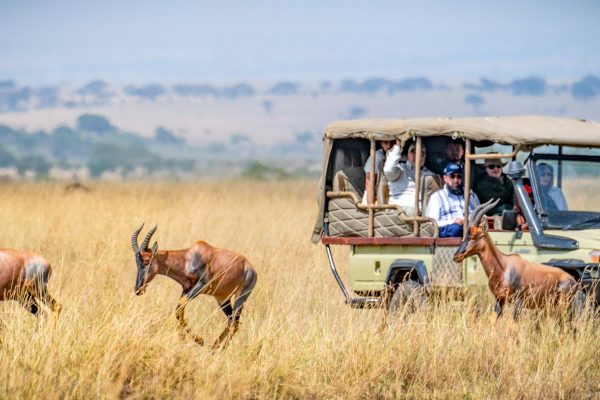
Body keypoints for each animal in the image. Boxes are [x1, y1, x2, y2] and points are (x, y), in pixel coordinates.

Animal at [452, 199, 584, 318]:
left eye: (475, 235)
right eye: (466, 234)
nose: (456, 256)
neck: (504, 266)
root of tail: (573, 281)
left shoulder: (518, 301)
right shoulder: (499, 300)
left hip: (564, 304)